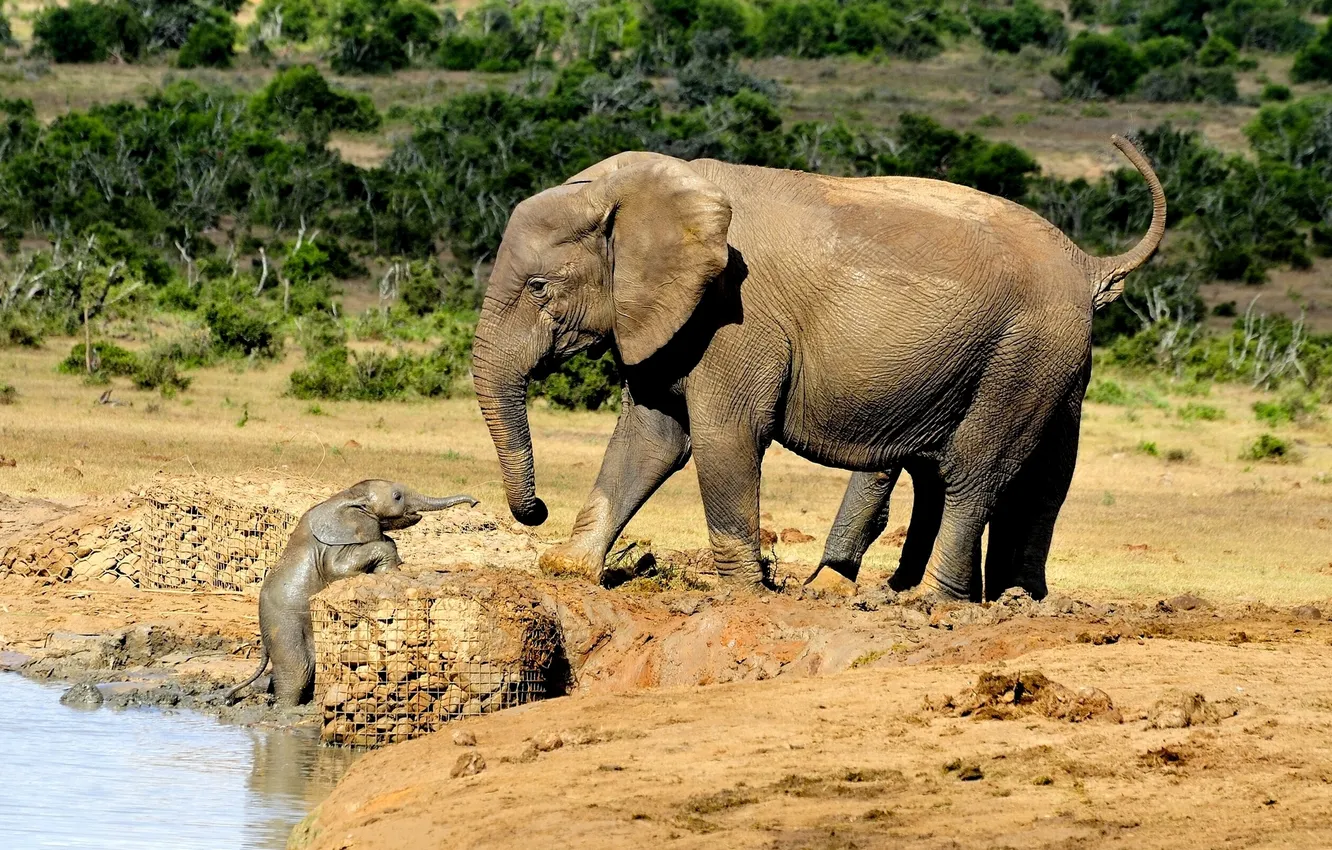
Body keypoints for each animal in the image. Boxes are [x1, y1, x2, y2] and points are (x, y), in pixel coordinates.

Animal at [225, 480, 477, 706]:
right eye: (397, 496)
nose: (475, 503)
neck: (350, 495)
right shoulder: (332, 549)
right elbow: (343, 567)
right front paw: (389, 571)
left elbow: (387, 541)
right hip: (285, 626)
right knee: (297, 672)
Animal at [472, 135, 1164, 601]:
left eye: (538, 286)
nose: (534, 510)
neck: (638, 191)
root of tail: (1087, 264)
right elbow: (651, 438)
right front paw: (568, 569)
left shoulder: (735, 317)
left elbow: (723, 437)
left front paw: (741, 595)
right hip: (1045, 362)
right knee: (1037, 476)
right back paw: (1007, 599)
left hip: (1024, 354)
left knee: (975, 473)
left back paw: (933, 603)